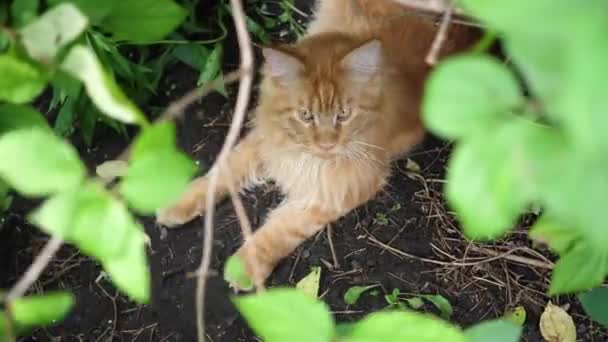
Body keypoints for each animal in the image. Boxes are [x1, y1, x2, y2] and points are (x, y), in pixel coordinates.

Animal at [157, 0, 480, 288]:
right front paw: (178, 201)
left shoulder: (340, 189)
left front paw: (245, 265)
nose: (325, 144)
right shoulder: (265, 141)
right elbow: (222, 172)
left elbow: (278, 230)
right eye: (305, 115)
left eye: (344, 114)